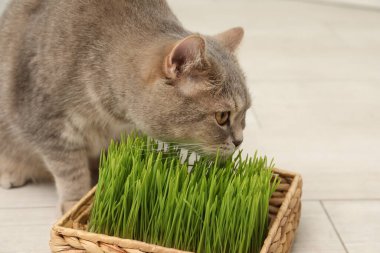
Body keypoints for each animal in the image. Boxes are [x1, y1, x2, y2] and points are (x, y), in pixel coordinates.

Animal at [0, 0, 251, 213]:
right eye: (222, 116)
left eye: (245, 113)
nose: (239, 141)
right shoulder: (48, 124)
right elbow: (70, 170)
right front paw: (75, 202)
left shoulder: (127, 135)